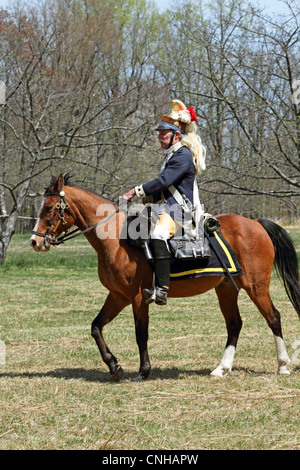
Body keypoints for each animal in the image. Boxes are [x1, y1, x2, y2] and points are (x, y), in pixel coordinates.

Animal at [28, 175, 300, 382]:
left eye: (49, 208)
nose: (35, 241)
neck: (117, 240)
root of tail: (256, 223)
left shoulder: (138, 297)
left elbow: (141, 333)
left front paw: (143, 371)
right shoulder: (118, 296)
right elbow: (96, 327)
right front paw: (114, 366)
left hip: (256, 287)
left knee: (274, 318)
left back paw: (283, 365)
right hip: (226, 289)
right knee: (234, 325)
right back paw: (221, 369)